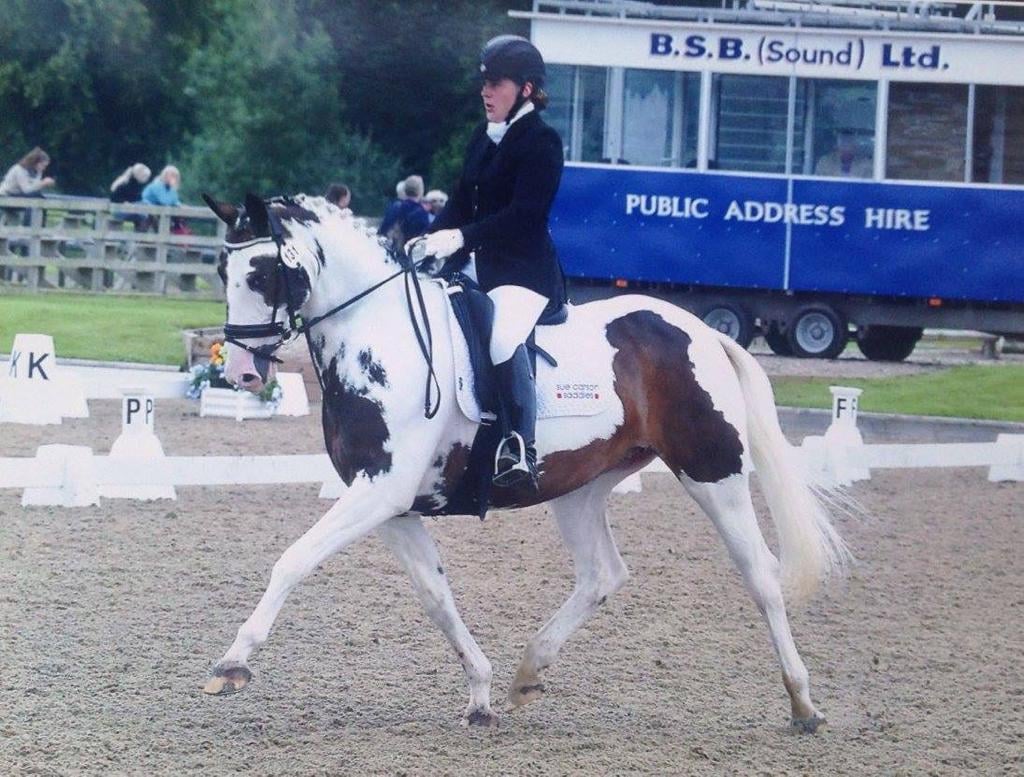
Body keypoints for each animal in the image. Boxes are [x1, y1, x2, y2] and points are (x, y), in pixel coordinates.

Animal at [197, 191, 847, 732]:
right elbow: (436, 597)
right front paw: (480, 694)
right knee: (602, 575)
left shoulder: (380, 490)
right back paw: (527, 674)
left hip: (712, 470)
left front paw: (232, 664)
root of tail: (702, 333)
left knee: (761, 574)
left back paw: (803, 704)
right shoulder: (393, 506)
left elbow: (292, 560)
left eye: (263, 272)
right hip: (580, 487)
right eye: (223, 271)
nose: (241, 371)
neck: (377, 332)